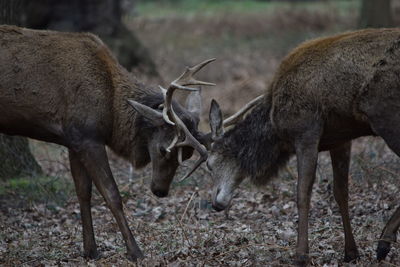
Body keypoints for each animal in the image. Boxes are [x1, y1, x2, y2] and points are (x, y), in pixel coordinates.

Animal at [0, 25, 216, 262]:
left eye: (187, 155)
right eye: (163, 149)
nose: (160, 191)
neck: (112, 115)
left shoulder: (73, 140)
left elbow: (83, 193)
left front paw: (90, 250)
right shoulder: (87, 137)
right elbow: (111, 194)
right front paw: (135, 251)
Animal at [189, 29, 400, 266]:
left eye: (209, 164)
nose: (215, 204)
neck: (275, 128)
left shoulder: (306, 131)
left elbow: (302, 193)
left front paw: (301, 255)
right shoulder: (341, 139)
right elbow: (341, 193)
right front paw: (351, 252)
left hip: (386, 113)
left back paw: (384, 242)